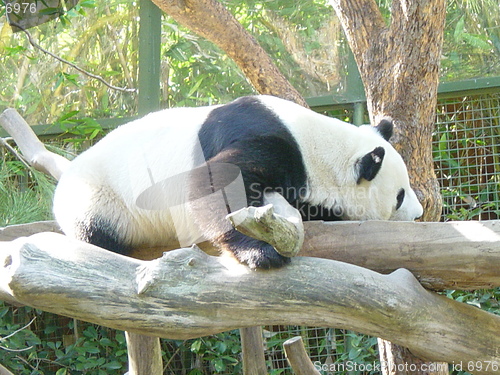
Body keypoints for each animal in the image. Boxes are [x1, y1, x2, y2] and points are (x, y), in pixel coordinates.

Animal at [53, 95, 422, 268]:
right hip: (99, 197)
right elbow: (214, 184)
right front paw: (262, 253)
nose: (420, 214)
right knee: (95, 231)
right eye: (399, 196)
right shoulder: (268, 140)